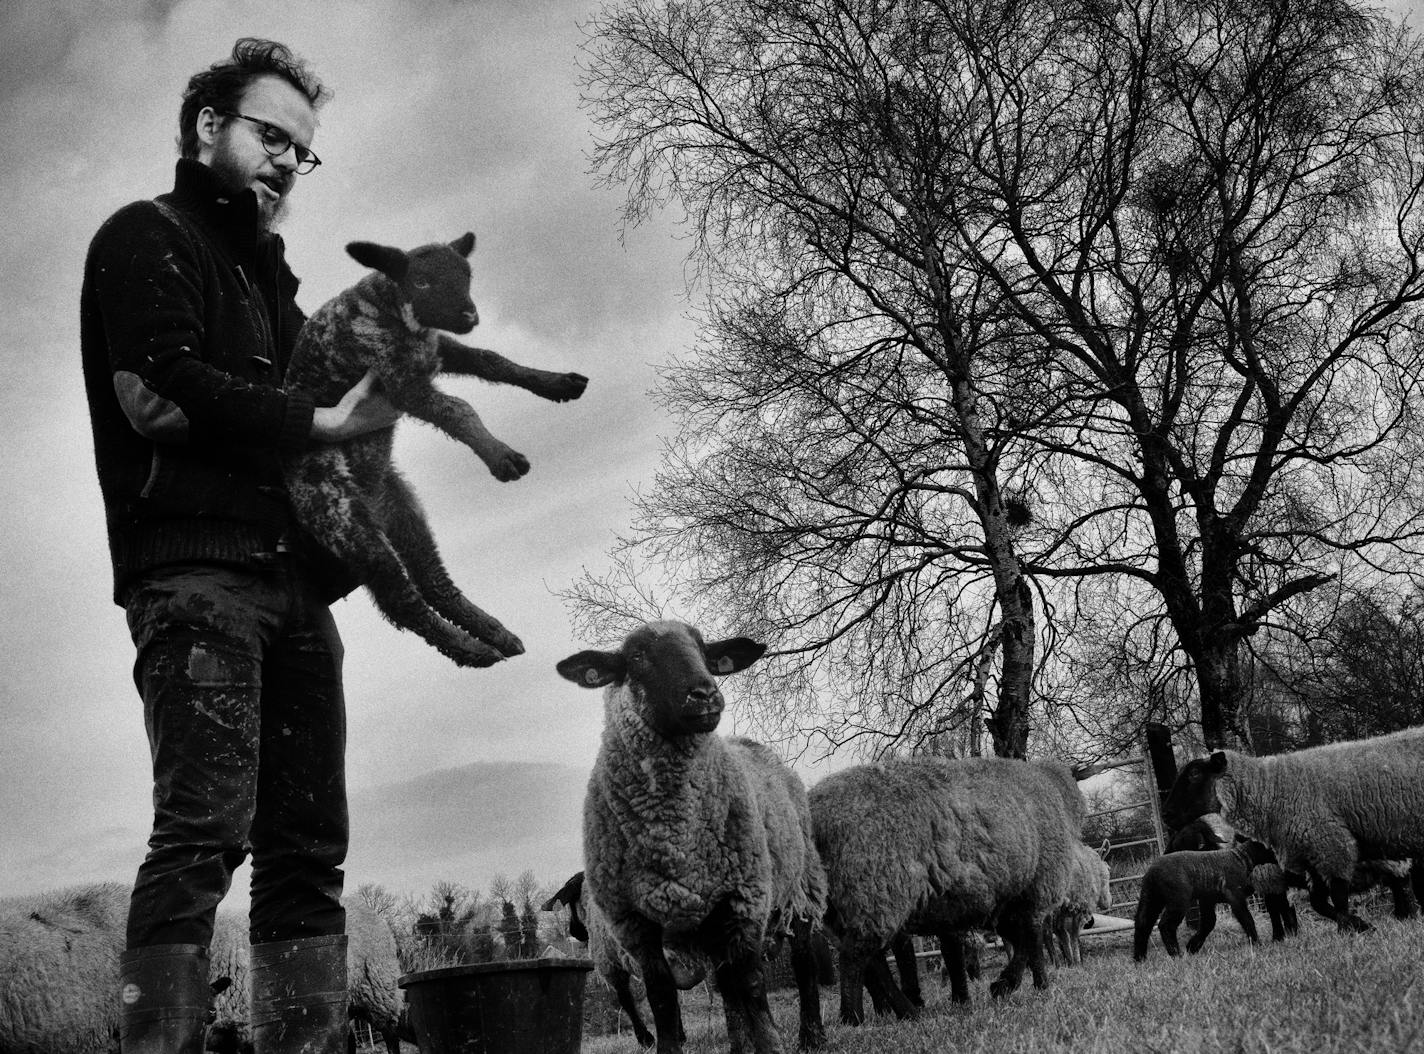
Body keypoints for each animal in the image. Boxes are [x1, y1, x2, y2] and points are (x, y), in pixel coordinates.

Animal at [283, 235, 583, 672]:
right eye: (422, 282)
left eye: (467, 275)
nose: (470, 315)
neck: (391, 310)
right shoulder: (400, 382)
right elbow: (457, 409)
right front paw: (502, 457)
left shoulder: (437, 350)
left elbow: (492, 360)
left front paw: (557, 383)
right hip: (340, 515)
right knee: (401, 600)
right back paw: (473, 651)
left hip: (402, 509)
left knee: (434, 582)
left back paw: (496, 635)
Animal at [552, 618, 825, 1054]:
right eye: (636, 655)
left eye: (704, 650)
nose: (706, 694)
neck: (673, 840)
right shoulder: (634, 924)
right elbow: (663, 997)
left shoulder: (745, 899)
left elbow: (753, 987)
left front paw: (770, 1045)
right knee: (726, 984)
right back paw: (740, 1046)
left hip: (802, 887)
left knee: (803, 962)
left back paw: (811, 1035)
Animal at [808, 752, 1082, 1025]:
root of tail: (815, 811)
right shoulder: (1035, 890)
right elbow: (1031, 940)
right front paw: (1028, 984)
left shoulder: (1003, 903)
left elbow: (1019, 941)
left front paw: (1003, 985)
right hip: (875, 889)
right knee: (854, 957)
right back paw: (853, 1017)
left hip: (847, 906)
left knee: (872, 961)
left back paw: (906, 1011)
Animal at [1133, 837, 1281, 962]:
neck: (1243, 859)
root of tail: (1152, 872)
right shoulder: (1235, 895)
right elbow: (1247, 919)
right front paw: (1257, 943)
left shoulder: (1207, 900)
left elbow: (1208, 923)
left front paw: (1192, 947)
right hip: (1178, 899)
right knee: (1165, 925)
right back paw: (1176, 955)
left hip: (1151, 897)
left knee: (1142, 923)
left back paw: (1139, 958)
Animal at [1161, 729, 1424, 934]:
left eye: (1194, 774)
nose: (1165, 814)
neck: (1270, 789)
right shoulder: (1312, 855)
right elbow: (1317, 904)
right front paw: (1358, 925)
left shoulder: (1330, 846)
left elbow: (1336, 900)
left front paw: (1349, 929)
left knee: (1403, 886)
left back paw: (1408, 917)